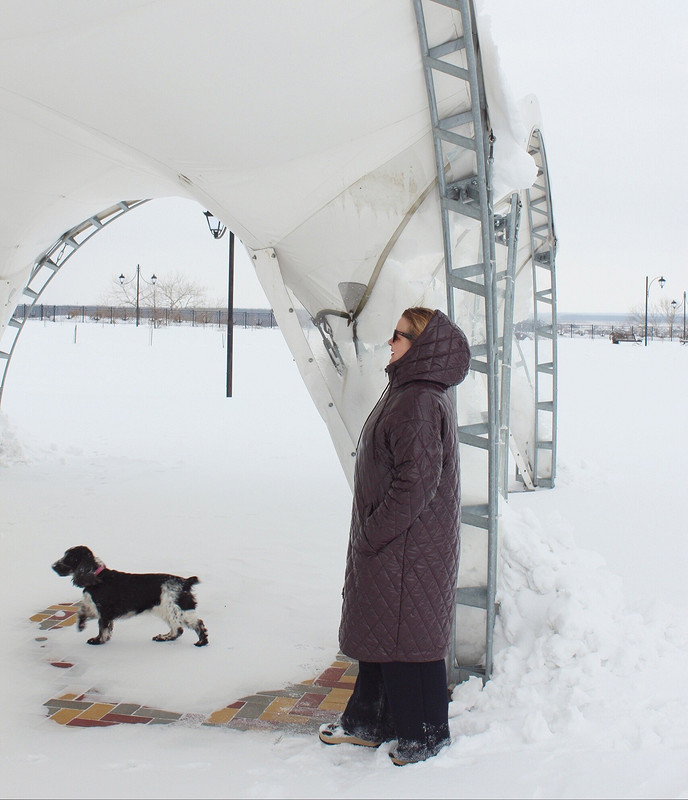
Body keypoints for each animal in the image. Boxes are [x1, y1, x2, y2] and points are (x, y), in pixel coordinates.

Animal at [51, 548, 208, 648]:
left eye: (69, 558)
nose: (53, 566)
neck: (98, 577)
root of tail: (185, 582)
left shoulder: (104, 611)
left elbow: (102, 628)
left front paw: (97, 641)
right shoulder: (96, 608)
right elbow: (83, 612)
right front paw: (81, 625)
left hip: (175, 609)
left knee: (194, 625)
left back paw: (201, 643)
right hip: (168, 610)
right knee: (178, 629)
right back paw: (163, 637)